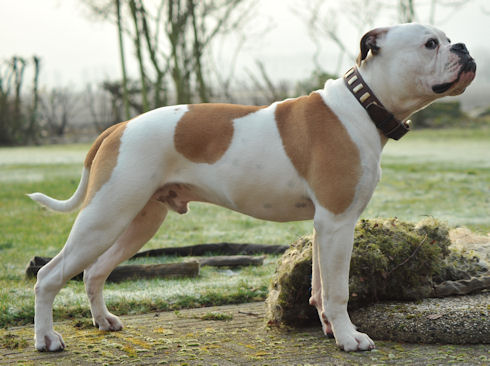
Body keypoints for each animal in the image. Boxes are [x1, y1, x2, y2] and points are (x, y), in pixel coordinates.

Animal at [29, 22, 474, 352]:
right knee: (51, 274)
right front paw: (351, 339)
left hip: (138, 220)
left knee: (94, 271)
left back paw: (103, 321)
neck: (363, 105)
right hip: (106, 215)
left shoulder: (325, 226)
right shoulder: (338, 222)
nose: (465, 48)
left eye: (448, 38)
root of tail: (118, 127)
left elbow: (320, 287)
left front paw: (332, 330)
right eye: (430, 44)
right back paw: (47, 339)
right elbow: (338, 290)